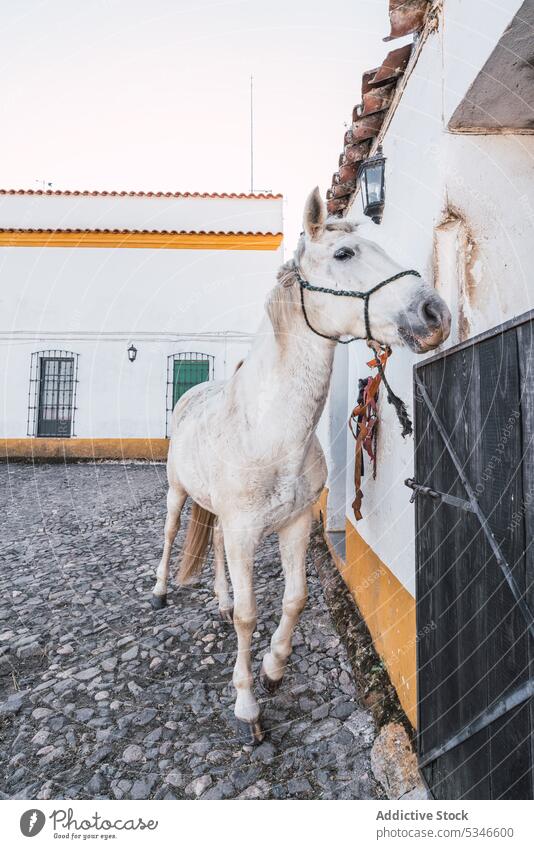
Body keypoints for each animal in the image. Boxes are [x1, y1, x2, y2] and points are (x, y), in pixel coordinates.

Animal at [151, 187, 452, 744]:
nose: (434, 312)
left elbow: (295, 599)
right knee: (169, 534)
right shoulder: (245, 532)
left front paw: (272, 669)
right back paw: (159, 591)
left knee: (217, 554)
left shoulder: (291, 525)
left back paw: (219, 601)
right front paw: (247, 704)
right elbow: (249, 615)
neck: (267, 429)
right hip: (178, 494)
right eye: (344, 254)